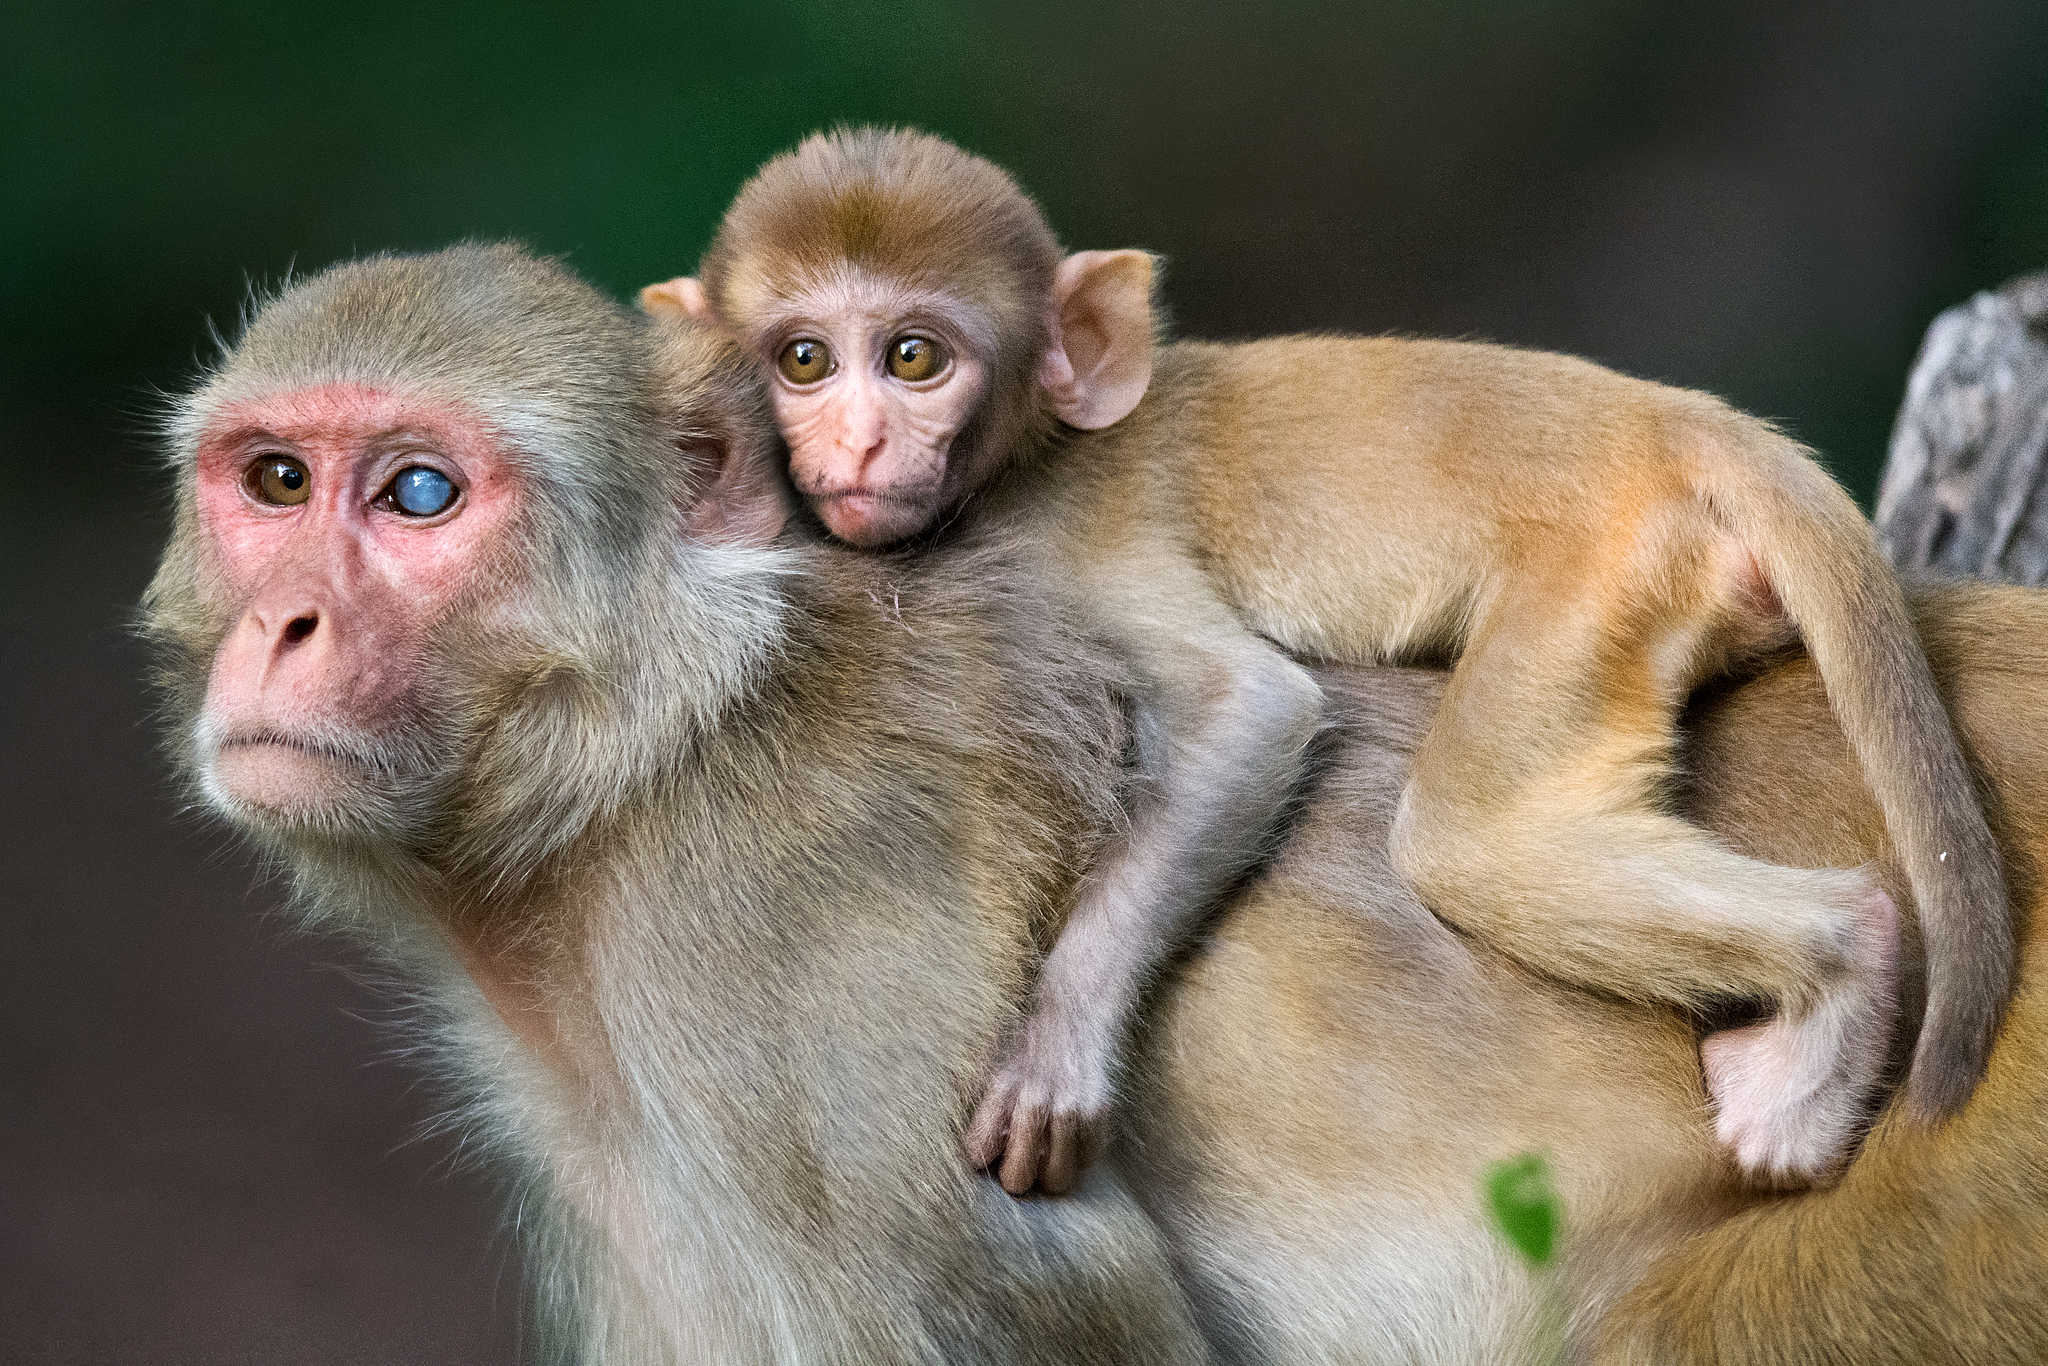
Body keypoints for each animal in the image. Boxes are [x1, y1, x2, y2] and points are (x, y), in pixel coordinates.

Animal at [147, 242, 2048, 1363]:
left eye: (415, 496)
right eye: (273, 482)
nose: (282, 624)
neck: (648, 752)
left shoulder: (769, 944)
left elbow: (1046, 1283)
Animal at [643, 126, 2011, 1193]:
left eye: (912, 358)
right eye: (804, 359)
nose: (861, 443)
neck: (1034, 446)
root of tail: (1683, 422)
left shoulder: (1073, 535)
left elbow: (1249, 705)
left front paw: (1055, 1050)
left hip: (1599, 571)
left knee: (1468, 839)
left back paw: (1843, 966)